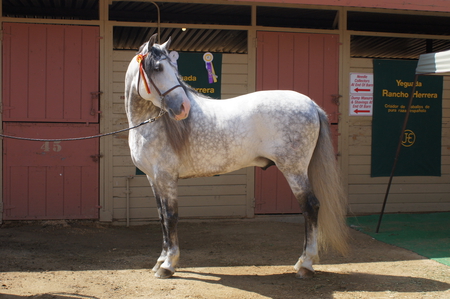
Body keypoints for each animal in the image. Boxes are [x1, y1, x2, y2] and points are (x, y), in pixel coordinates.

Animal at [124, 35, 348, 282]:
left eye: (174, 68)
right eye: (158, 68)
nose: (183, 108)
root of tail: (311, 104)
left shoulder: (167, 178)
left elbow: (171, 217)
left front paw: (168, 265)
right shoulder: (154, 179)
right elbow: (162, 217)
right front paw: (160, 261)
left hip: (294, 170)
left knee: (310, 207)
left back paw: (305, 264)